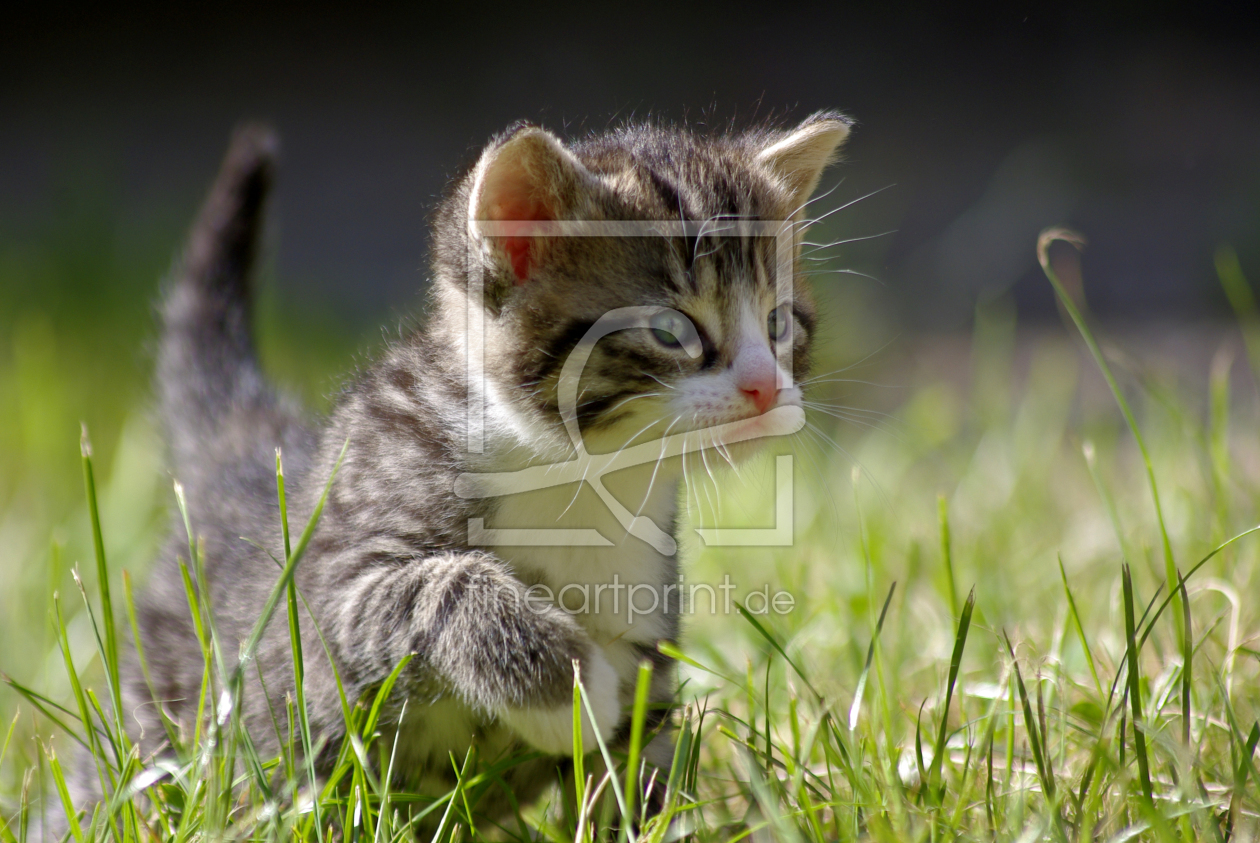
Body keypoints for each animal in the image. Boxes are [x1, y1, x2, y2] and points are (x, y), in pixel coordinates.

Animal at [110, 110, 846, 821]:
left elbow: (633, 771)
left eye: (779, 324)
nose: (766, 387)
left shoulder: (646, 626)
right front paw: (571, 689)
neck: (580, 481)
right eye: (671, 331)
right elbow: (442, 585)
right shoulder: (322, 598)